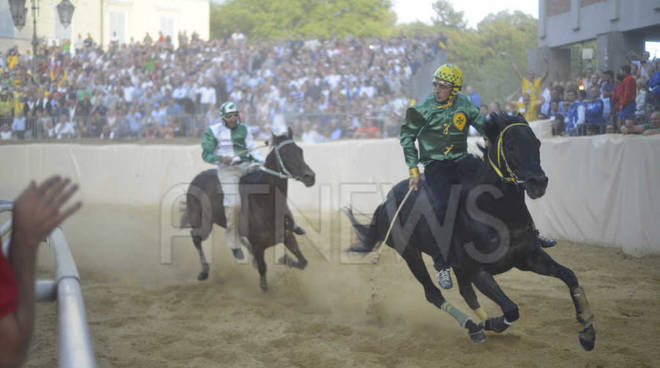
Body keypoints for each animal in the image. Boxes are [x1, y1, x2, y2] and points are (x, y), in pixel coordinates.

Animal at [180, 129, 314, 290]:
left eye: (300, 151)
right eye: (285, 154)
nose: (310, 177)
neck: (264, 202)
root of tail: (196, 178)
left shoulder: (287, 235)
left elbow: (303, 262)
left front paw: (284, 259)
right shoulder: (258, 246)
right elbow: (263, 272)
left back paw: (239, 253)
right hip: (203, 224)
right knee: (196, 237)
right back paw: (204, 271)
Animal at [348, 114, 596, 350]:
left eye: (537, 143)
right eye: (510, 146)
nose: (538, 183)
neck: (496, 212)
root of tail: (386, 202)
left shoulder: (528, 257)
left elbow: (569, 276)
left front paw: (587, 331)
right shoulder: (478, 271)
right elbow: (511, 309)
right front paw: (494, 323)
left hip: (456, 267)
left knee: (466, 294)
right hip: (410, 253)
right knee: (433, 294)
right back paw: (473, 326)